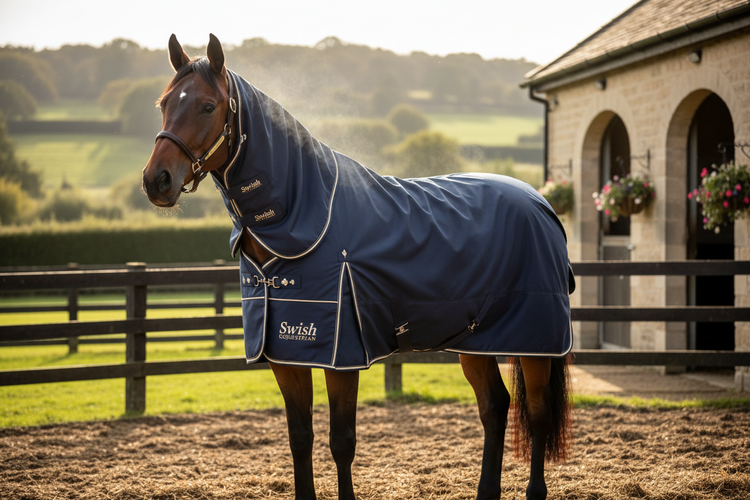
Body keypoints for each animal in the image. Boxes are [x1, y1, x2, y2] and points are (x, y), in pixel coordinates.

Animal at [142, 33, 574, 500]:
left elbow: (341, 442)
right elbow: (300, 439)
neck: (303, 217)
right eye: (162, 103)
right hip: (475, 340)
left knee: (537, 410)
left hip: (535, 341)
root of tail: (542, 203)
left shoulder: (342, 356)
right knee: (495, 405)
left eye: (207, 106)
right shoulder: (285, 354)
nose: (156, 181)